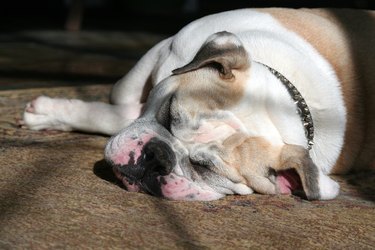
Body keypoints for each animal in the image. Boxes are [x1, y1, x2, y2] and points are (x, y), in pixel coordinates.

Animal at [22, 8, 375, 201]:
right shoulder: (166, 49)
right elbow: (122, 100)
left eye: (206, 168)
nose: (157, 157)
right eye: (168, 113)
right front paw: (48, 113)